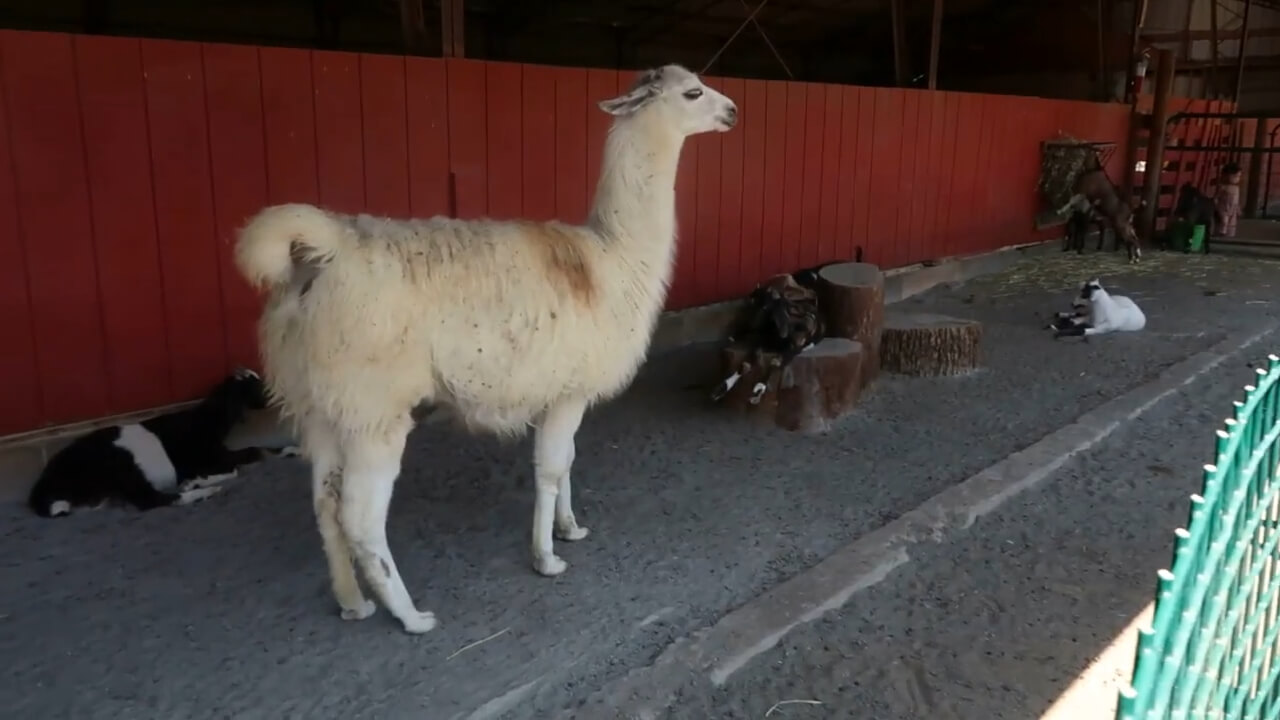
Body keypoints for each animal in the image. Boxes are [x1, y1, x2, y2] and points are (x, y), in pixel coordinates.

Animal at [28, 363, 293, 515]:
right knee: (150, 501)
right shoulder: (203, 459)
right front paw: (195, 483)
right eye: (258, 387)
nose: (281, 393)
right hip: (123, 469)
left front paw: (290, 449)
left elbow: (259, 449)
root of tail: (45, 482)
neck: (206, 420)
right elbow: (244, 460)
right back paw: (203, 492)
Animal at [234, 64, 737, 630]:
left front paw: (570, 527)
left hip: (319, 405)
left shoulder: (561, 390)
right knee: (359, 516)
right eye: (693, 92)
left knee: (324, 502)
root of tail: (324, 252)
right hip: (373, 407)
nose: (733, 110)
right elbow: (550, 468)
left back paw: (352, 602)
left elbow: (568, 460)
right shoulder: (569, 388)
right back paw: (412, 617)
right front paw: (547, 558)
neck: (611, 260)